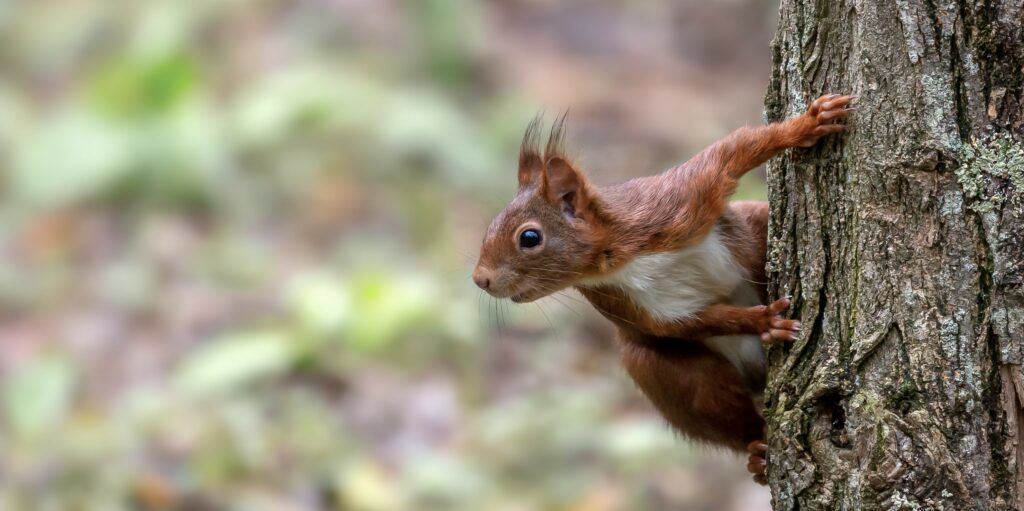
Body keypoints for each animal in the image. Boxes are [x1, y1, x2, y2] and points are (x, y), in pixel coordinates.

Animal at [473, 94, 855, 485]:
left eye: (529, 238)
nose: (480, 279)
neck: (619, 259)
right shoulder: (630, 305)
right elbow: (691, 323)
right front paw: (764, 321)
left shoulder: (676, 203)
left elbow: (732, 153)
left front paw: (808, 123)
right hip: (663, 371)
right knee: (718, 408)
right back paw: (758, 453)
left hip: (754, 222)